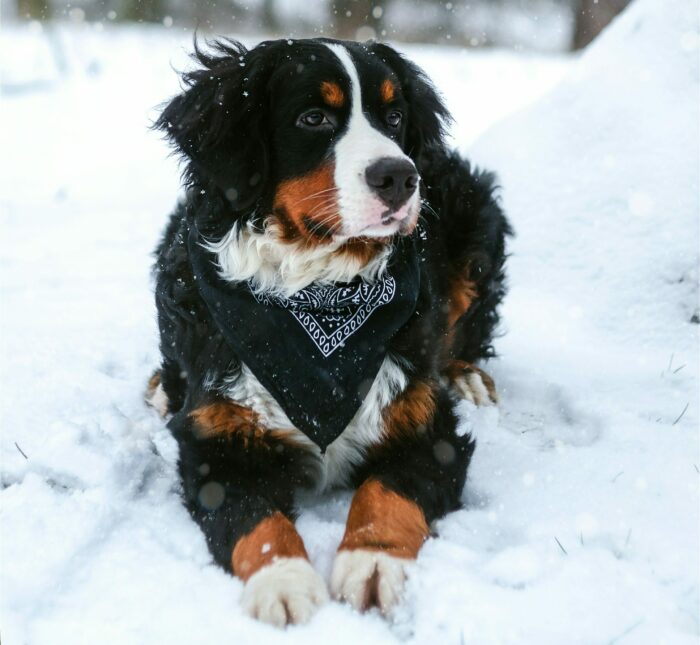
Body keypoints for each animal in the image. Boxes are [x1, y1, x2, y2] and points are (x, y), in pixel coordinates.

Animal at [146, 37, 508, 628]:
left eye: (394, 116)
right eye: (313, 118)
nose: (399, 176)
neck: (320, 290)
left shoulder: (426, 424)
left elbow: (388, 491)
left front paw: (374, 563)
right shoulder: (216, 441)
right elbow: (254, 518)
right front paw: (284, 581)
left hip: (476, 220)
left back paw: (468, 376)